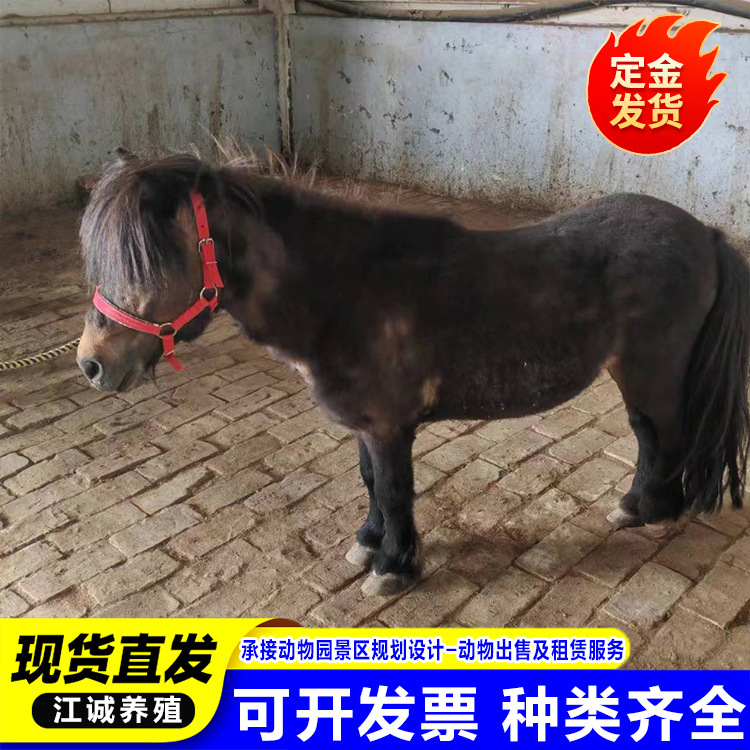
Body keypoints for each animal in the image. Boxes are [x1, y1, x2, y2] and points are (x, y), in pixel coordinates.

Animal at [77, 153, 750, 596]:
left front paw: (394, 566)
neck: (342, 290)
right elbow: (372, 483)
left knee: (661, 435)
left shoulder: (388, 425)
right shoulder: (367, 427)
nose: (92, 362)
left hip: (651, 371)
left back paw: (648, 509)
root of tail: (704, 232)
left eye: (148, 260)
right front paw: (370, 542)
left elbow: (396, 490)